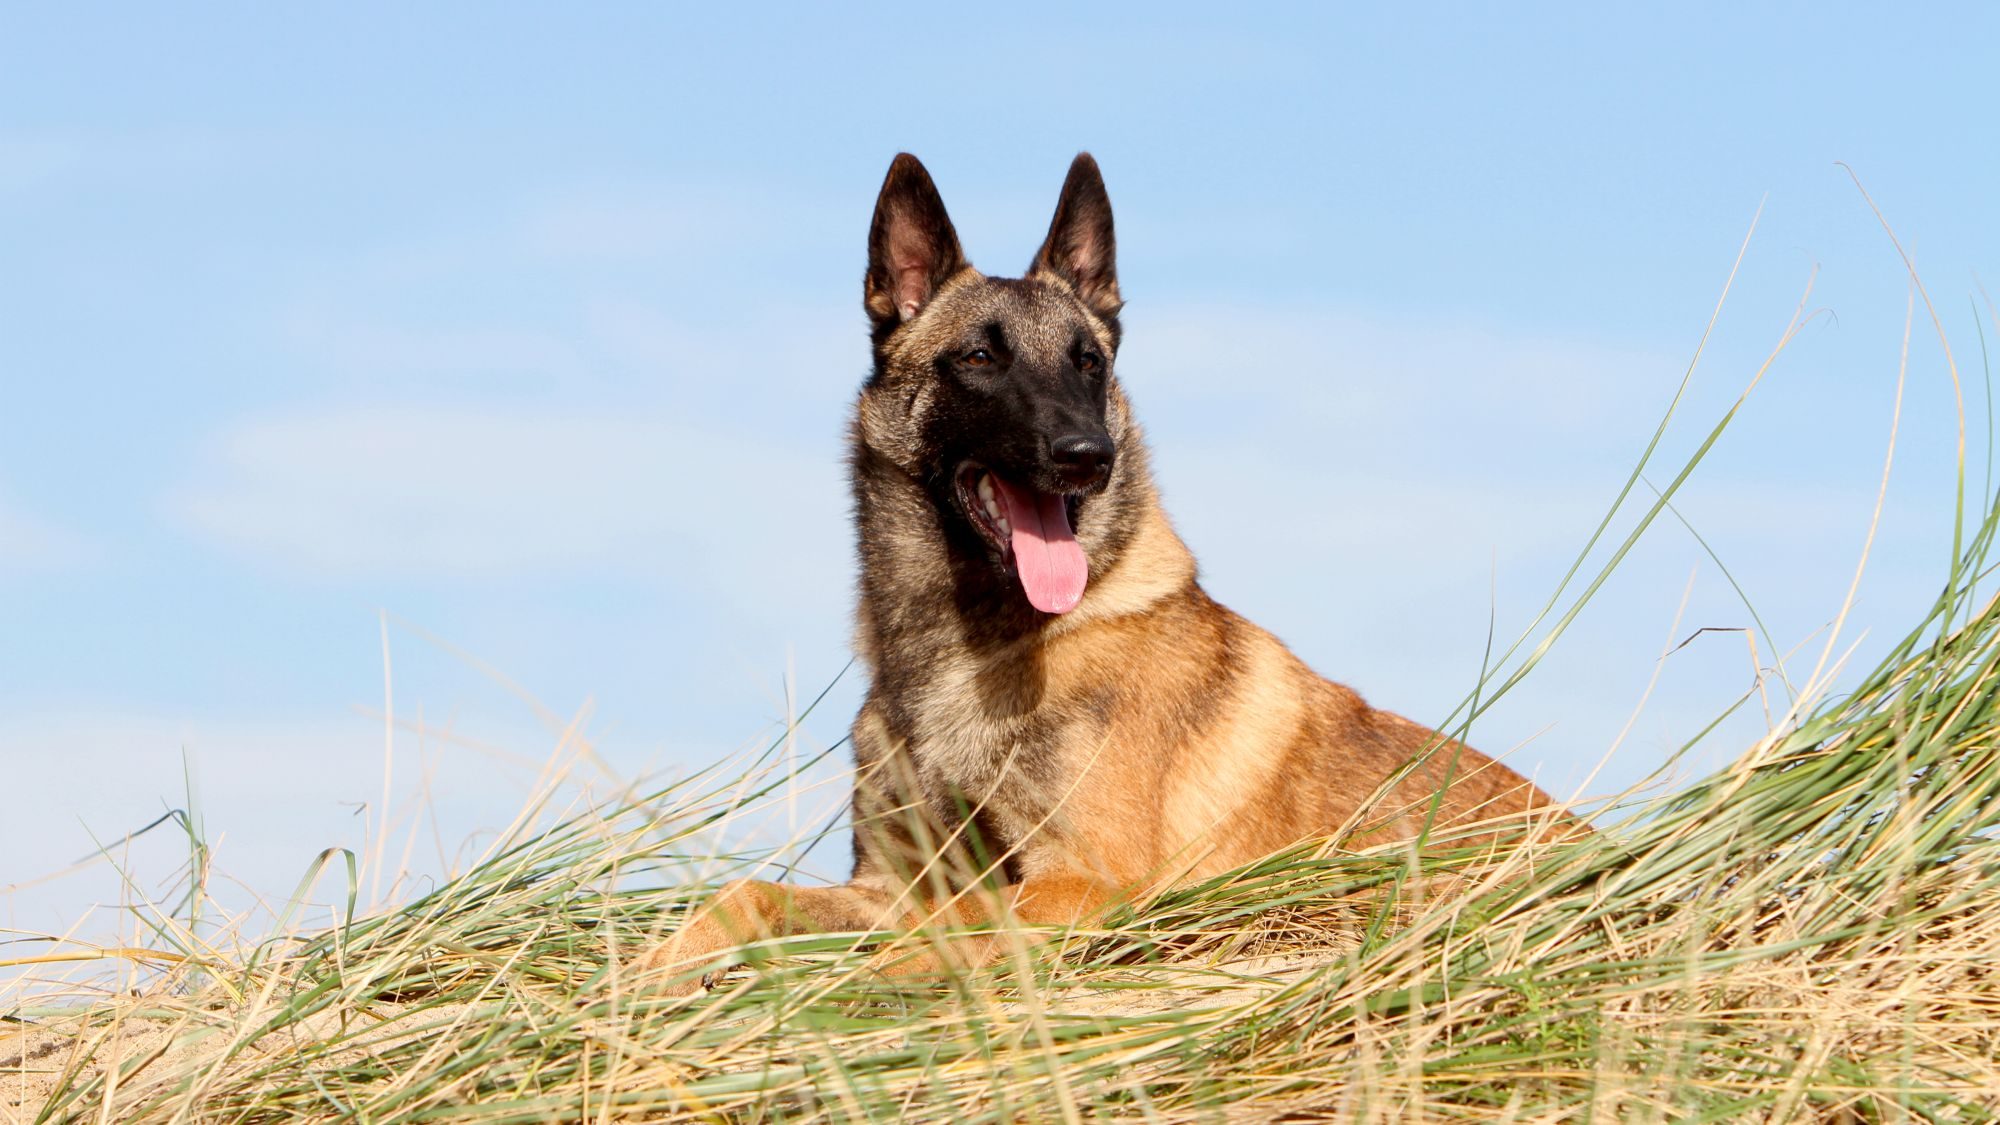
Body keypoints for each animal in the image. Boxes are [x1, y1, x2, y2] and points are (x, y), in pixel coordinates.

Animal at [640, 151, 1560, 988]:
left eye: (1090, 362)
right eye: (979, 358)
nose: (1088, 455)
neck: (959, 652)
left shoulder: (1083, 879)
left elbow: (951, 924)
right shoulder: (889, 880)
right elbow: (749, 893)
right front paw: (661, 964)